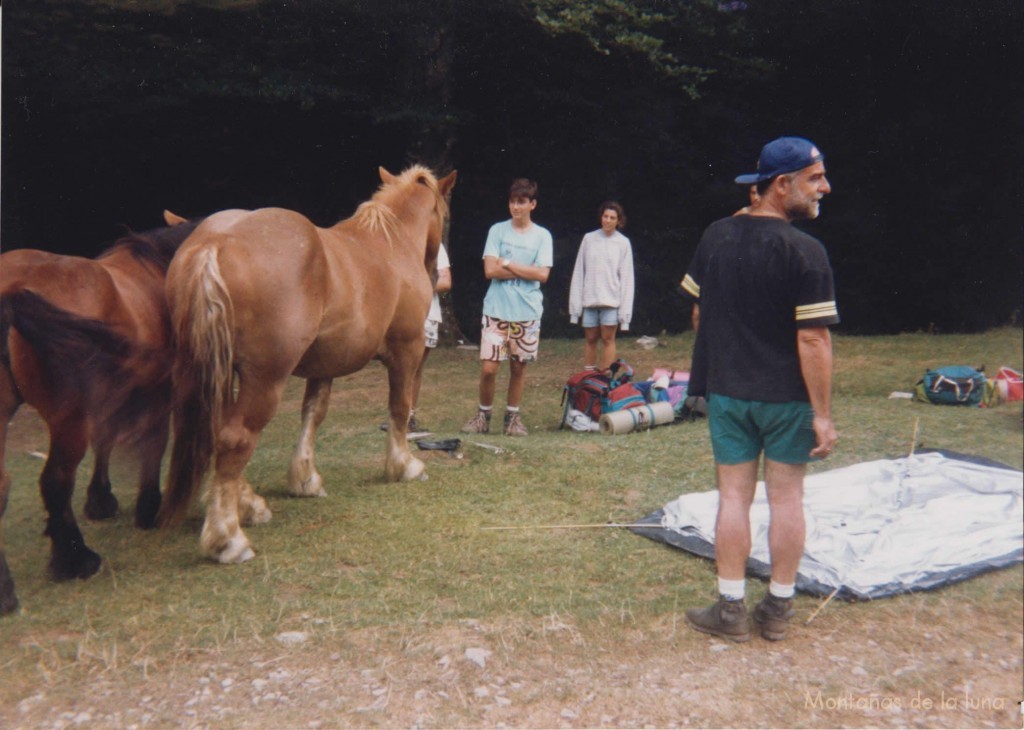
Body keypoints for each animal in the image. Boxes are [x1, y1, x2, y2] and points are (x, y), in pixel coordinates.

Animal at [0, 211, 201, 614]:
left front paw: (100, 499)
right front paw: (149, 508)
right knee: (56, 480)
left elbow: (105, 442)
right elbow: (153, 444)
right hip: (68, 419)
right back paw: (74, 559)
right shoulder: (157, 393)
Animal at [156, 166, 456, 565]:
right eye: (444, 215)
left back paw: (248, 506)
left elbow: (313, 414)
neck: (391, 243)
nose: (437, 275)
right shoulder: (406, 352)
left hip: (214, 372)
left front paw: (305, 479)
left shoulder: (323, 365)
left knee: (217, 431)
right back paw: (228, 538)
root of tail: (214, 242)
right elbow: (399, 408)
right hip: (264, 379)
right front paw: (404, 466)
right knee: (235, 438)